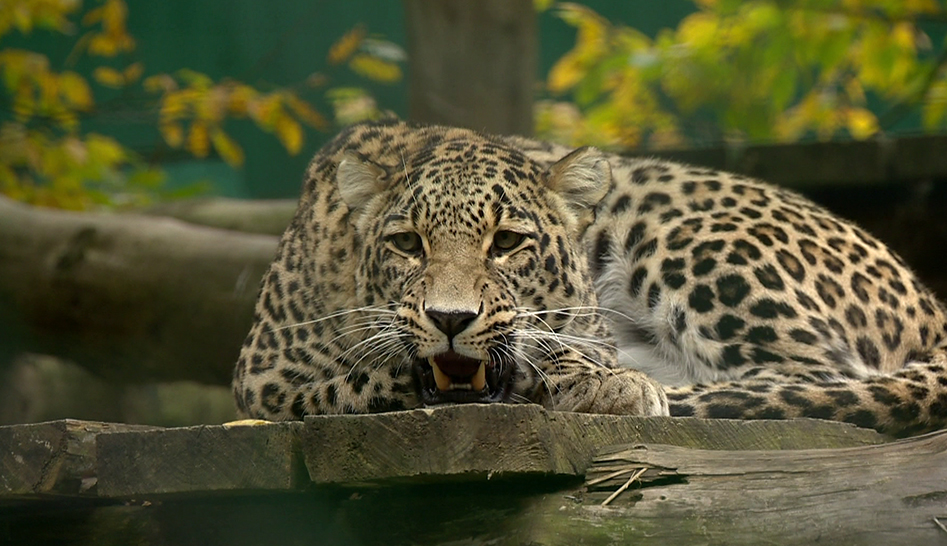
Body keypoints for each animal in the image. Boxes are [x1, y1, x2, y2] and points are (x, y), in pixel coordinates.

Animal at [233, 117, 947, 436]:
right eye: (407, 244)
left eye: (507, 243)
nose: (450, 319)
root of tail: (931, 304)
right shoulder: (264, 380)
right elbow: (364, 378)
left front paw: (604, 382)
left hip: (674, 233)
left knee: (808, 380)